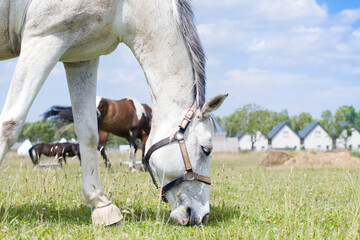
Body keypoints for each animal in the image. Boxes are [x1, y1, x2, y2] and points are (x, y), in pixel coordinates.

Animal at [0, 0, 228, 226]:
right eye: (206, 149)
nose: (202, 216)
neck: (124, 6)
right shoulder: (43, 39)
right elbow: (10, 125)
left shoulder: (81, 57)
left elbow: (88, 135)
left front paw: (101, 205)